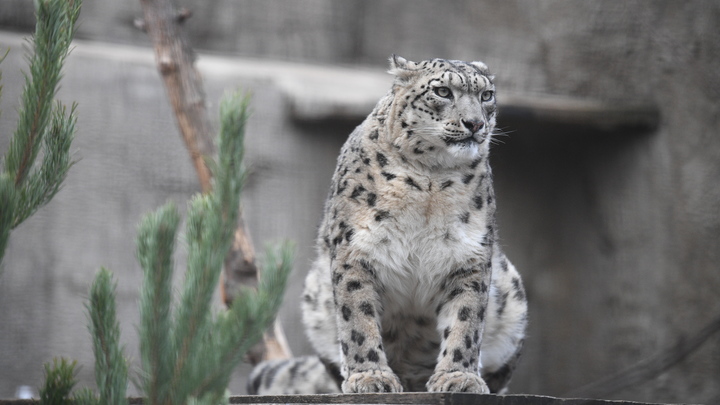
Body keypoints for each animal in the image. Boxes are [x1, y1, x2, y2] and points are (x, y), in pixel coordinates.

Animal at [250, 55, 524, 392]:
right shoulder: (355, 250)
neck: (430, 180)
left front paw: (459, 377)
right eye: (443, 91)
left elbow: (467, 317)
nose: (475, 124)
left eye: (486, 95)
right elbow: (358, 317)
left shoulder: (469, 256)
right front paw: (370, 376)